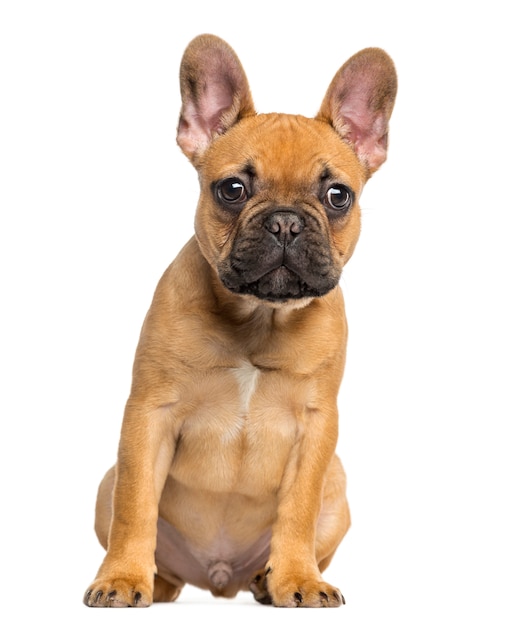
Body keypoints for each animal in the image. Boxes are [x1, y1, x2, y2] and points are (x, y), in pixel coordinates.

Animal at [84, 33, 398, 604]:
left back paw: (267, 581)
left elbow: (297, 512)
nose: (286, 222)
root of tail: (218, 577)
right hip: (105, 486)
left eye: (337, 196)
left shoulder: (318, 430)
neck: (259, 318)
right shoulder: (149, 415)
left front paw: (296, 578)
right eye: (232, 189)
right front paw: (121, 577)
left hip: (339, 487)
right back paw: (153, 581)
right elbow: (135, 507)